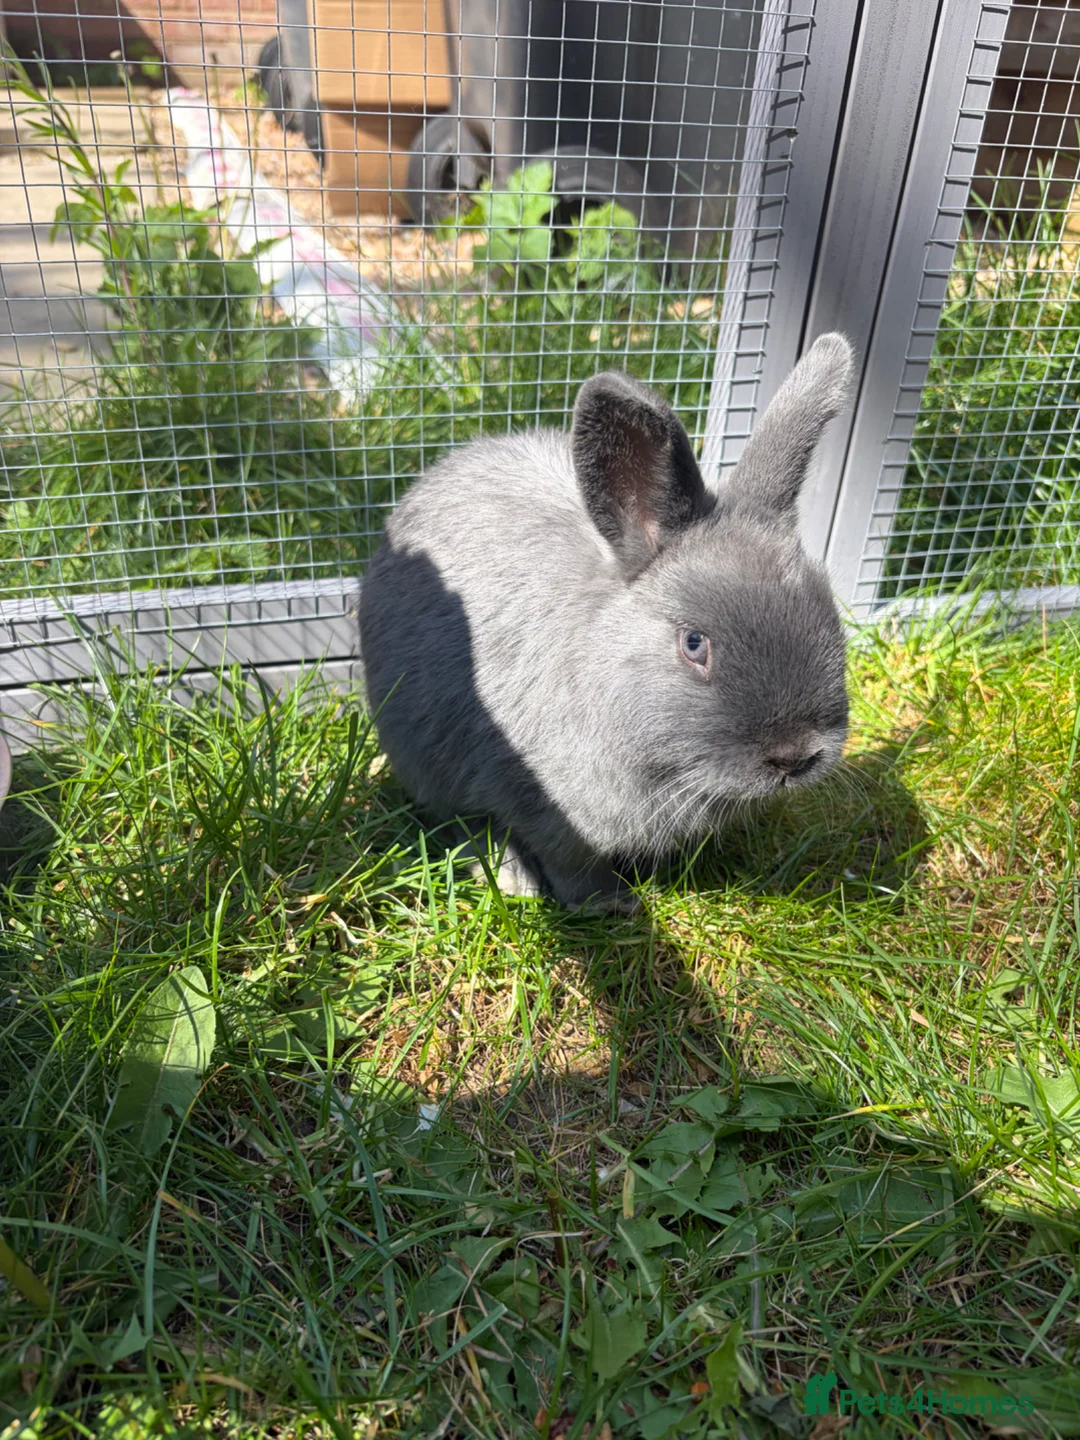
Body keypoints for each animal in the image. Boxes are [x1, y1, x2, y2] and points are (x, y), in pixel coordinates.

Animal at [359, 332, 854, 912]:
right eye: (694, 643)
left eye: (829, 615)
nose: (796, 756)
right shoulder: (547, 808)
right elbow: (569, 864)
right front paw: (609, 903)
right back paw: (514, 879)